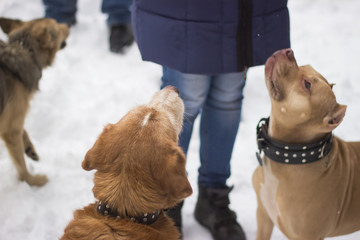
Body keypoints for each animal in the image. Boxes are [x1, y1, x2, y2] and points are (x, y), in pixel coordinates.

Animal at [0, 17, 69, 187]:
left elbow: (22, 131)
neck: (24, 48)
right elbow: (21, 165)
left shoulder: (11, 120)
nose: (67, 25)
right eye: (57, 26)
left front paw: (29, 148)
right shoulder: (11, 129)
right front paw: (33, 181)